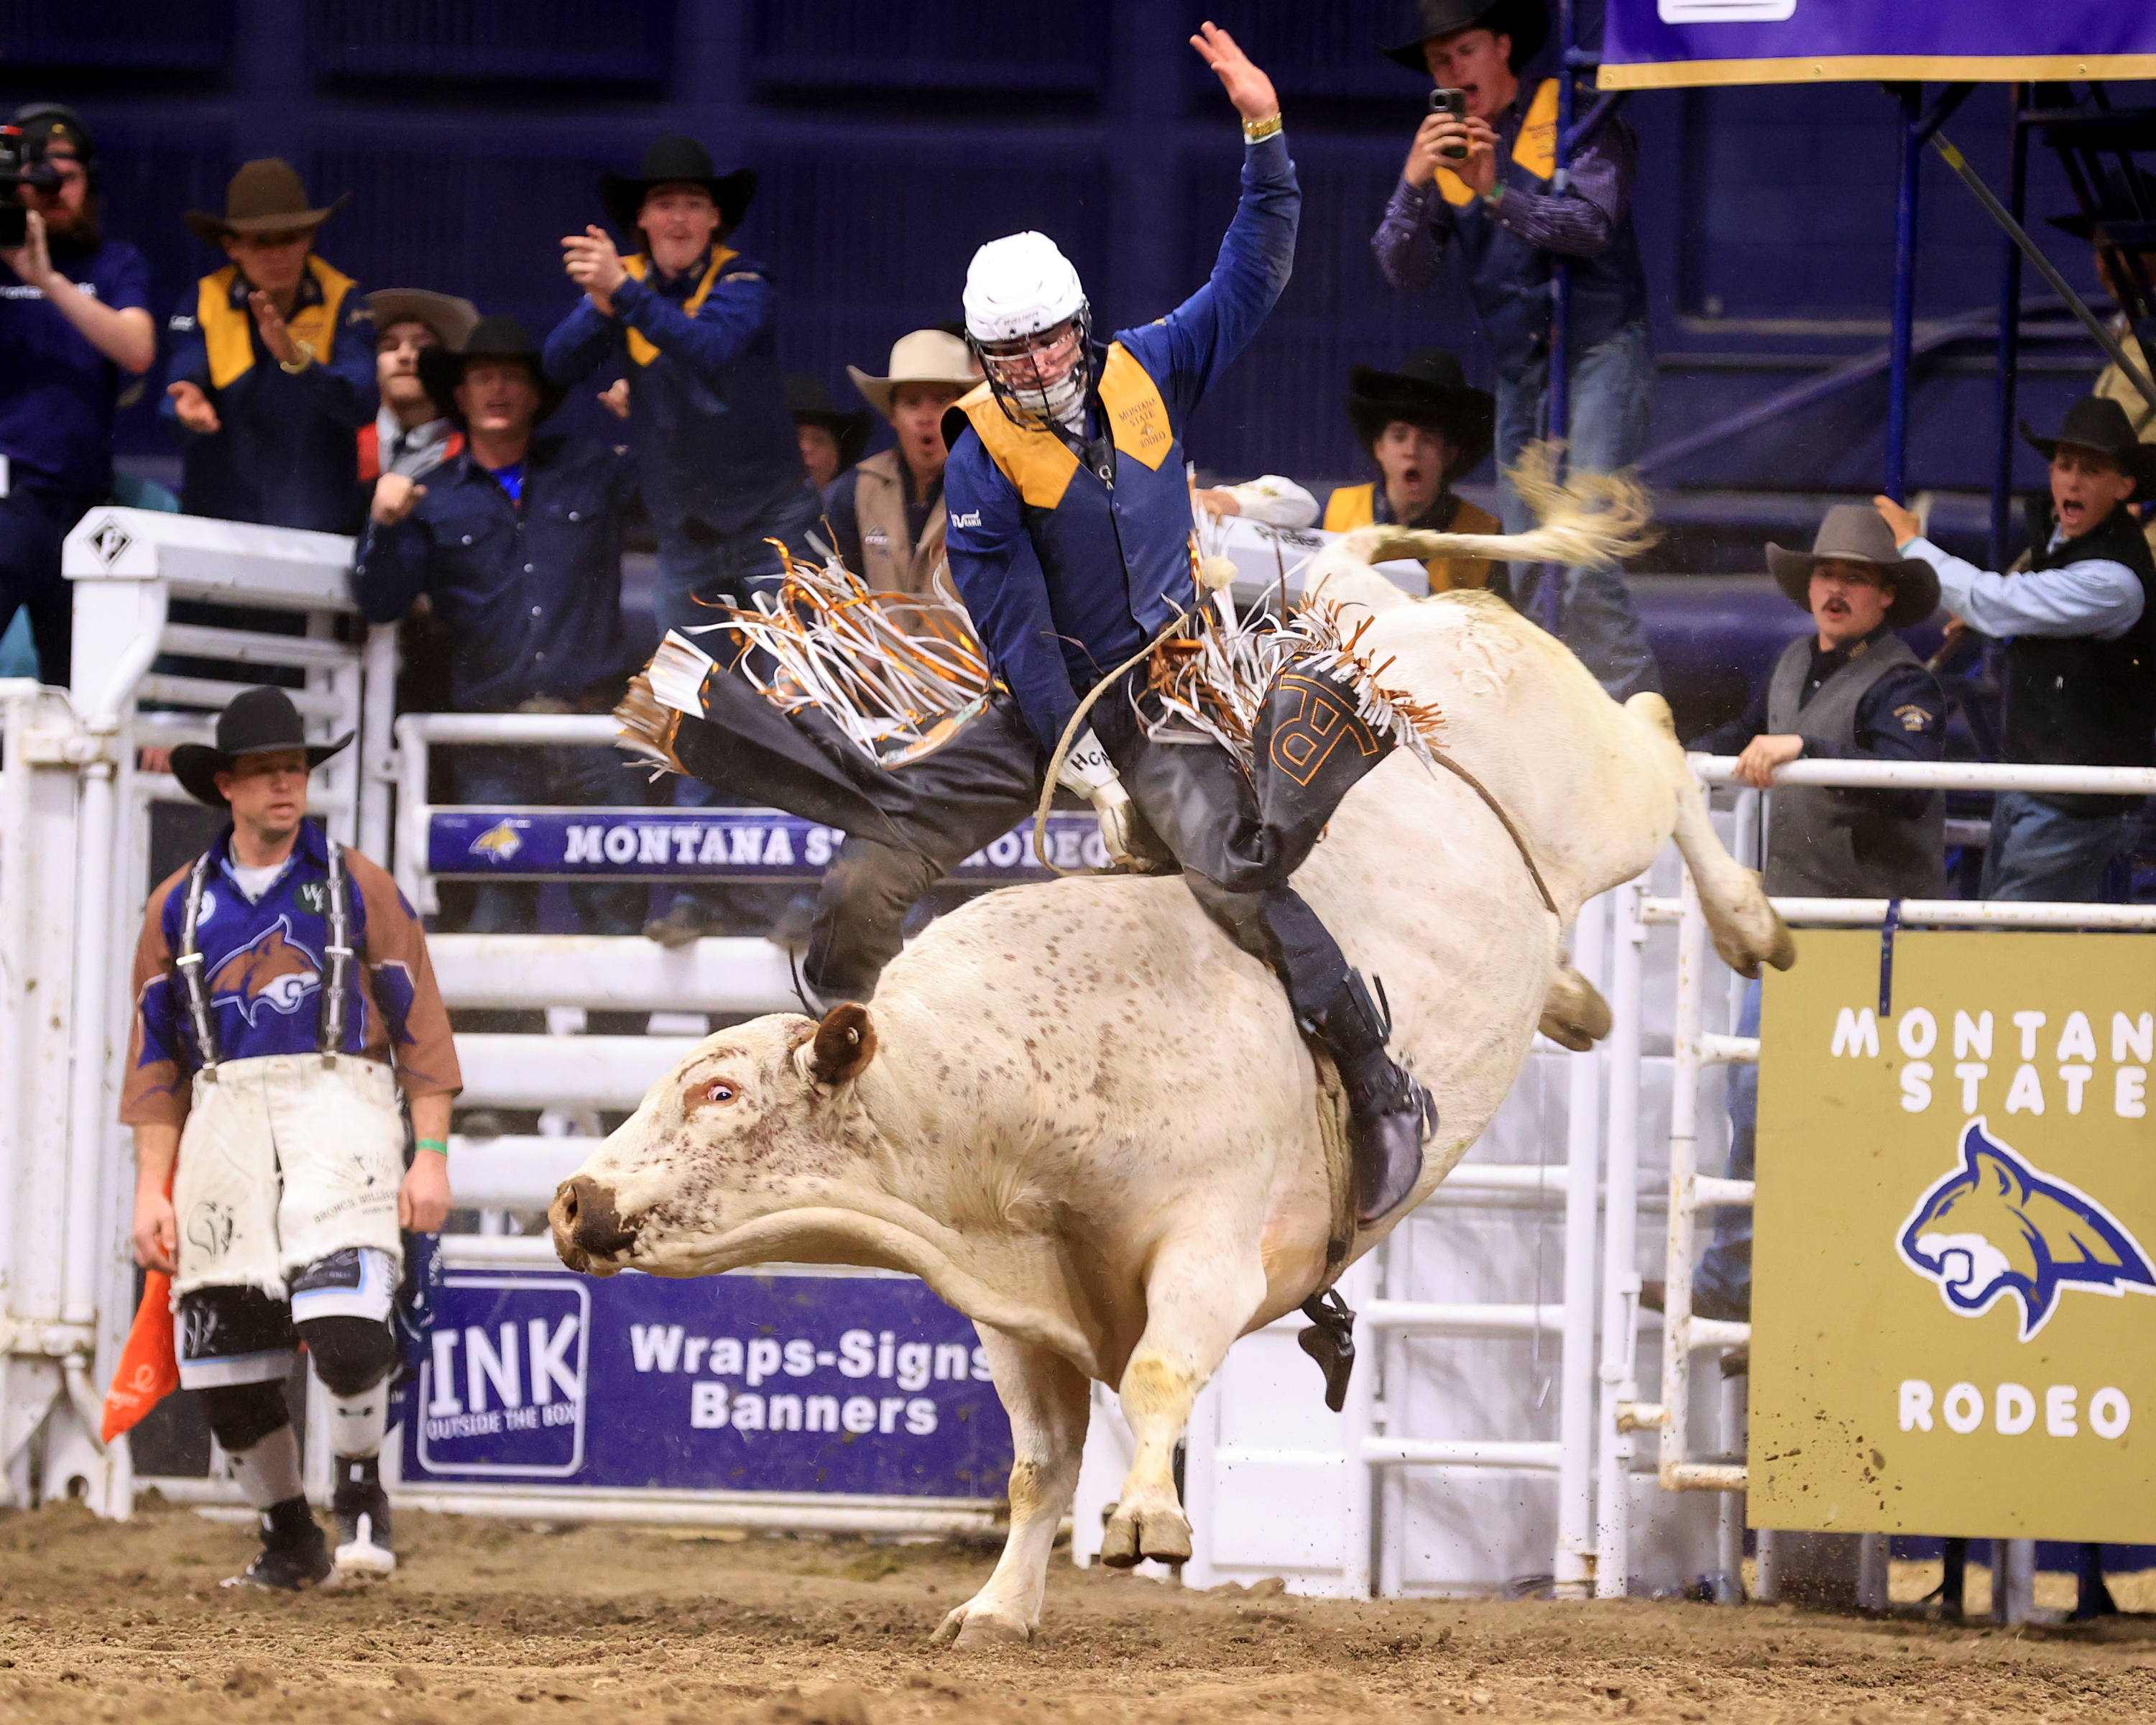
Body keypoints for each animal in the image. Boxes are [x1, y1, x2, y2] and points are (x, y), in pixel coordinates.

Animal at [549, 532, 1793, 1646]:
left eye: (717, 1093)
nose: (571, 1201)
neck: (1017, 1086)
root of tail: (1398, 613)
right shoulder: (1018, 1312)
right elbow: (1038, 1466)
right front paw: (998, 1609)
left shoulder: (1211, 1251)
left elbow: (1155, 1375)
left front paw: (1149, 1521)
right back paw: (1580, 1003)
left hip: (1606, 799)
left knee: (1663, 737)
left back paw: (1749, 924)